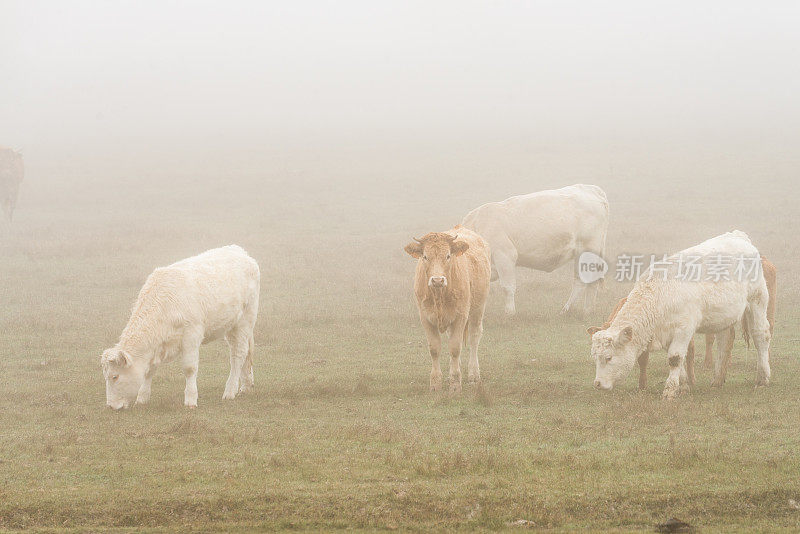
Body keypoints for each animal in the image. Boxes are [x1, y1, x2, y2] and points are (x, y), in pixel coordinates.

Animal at [97, 245, 260, 412]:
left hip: (245, 320)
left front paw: (190, 399)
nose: (111, 405)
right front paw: (142, 398)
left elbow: (189, 368)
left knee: (238, 355)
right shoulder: (157, 346)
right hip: (231, 325)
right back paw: (246, 385)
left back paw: (230, 390)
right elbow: (149, 371)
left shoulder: (192, 334)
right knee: (244, 352)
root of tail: (239, 251)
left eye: (115, 376)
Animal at [404, 224, 490, 396]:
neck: (439, 295)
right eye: (425, 256)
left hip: (478, 309)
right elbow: (435, 349)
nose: (437, 280)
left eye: (448, 256)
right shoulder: (425, 318)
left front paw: (456, 385)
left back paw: (473, 374)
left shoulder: (460, 316)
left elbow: (455, 348)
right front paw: (436, 383)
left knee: (474, 337)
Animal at [460, 185, 608, 316]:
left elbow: (508, 287)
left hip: (587, 250)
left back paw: (571, 310)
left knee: (583, 281)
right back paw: (584, 310)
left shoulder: (504, 255)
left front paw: (509, 313)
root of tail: (591, 189)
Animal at [592, 232, 772, 400]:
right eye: (595, 357)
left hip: (757, 299)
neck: (661, 292)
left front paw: (670, 391)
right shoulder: (666, 334)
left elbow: (675, 358)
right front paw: (684, 386)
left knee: (761, 335)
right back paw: (717, 380)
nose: (598, 384)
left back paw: (762, 379)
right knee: (724, 341)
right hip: (724, 315)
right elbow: (679, 360)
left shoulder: (684, 329)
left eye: (609, 357)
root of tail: (737, 236)